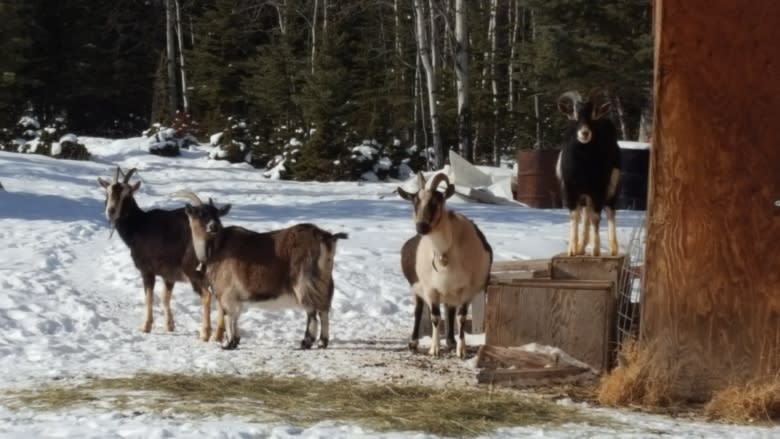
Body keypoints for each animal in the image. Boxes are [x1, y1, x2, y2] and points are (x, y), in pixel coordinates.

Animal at [96, 167, 225, 342]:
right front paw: (170, 325)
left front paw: (146, 326)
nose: (111, 211)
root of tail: (213, 232)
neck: (138, 226)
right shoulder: (168, 274)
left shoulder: (147, 270)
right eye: (108, 192)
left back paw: (205, 333)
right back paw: (218, 334)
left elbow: (149, 297)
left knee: (206, 295)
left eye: (127, 195)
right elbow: (165, 297)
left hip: (191, 269)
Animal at [178, 191, 348, 352]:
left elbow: (229, 316)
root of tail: (326, 237)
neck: (218, 246)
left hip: (304, 283)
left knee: (312, 312)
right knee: (324, 310)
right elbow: (235, 317)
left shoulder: (227, 293)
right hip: (323, 282)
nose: (214, 226)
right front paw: (235, 341)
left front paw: (229, 344)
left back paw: (306, 342)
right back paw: (322, 342)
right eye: (199, 213)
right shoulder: (235, 297)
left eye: (217, 213)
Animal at [396, 172, 494, 358]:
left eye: (436, 201)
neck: (444, 253)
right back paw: (414, 343)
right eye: (414, 202)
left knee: (450, 311)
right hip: (417, 289)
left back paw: (450, 341)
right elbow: (435, 317)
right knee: (419, 311)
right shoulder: (430, 289)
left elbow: (461, 317)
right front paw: (434, 349)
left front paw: (461, 350)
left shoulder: (467, 290)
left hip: (450, 293)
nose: (421, 226)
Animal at [556, 87, 620, 256]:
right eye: (574, 116)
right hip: (585, 194)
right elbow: (575, 216)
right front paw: (572, 250)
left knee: (610, 210)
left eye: (593, 115)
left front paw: (596, 251)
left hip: (612, 187)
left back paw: (613, 249)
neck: (583, 165)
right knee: (586, 212)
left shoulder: (598, 189)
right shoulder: (571, 190)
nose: (584, 133)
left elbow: (596, 217)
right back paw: (581, 247)